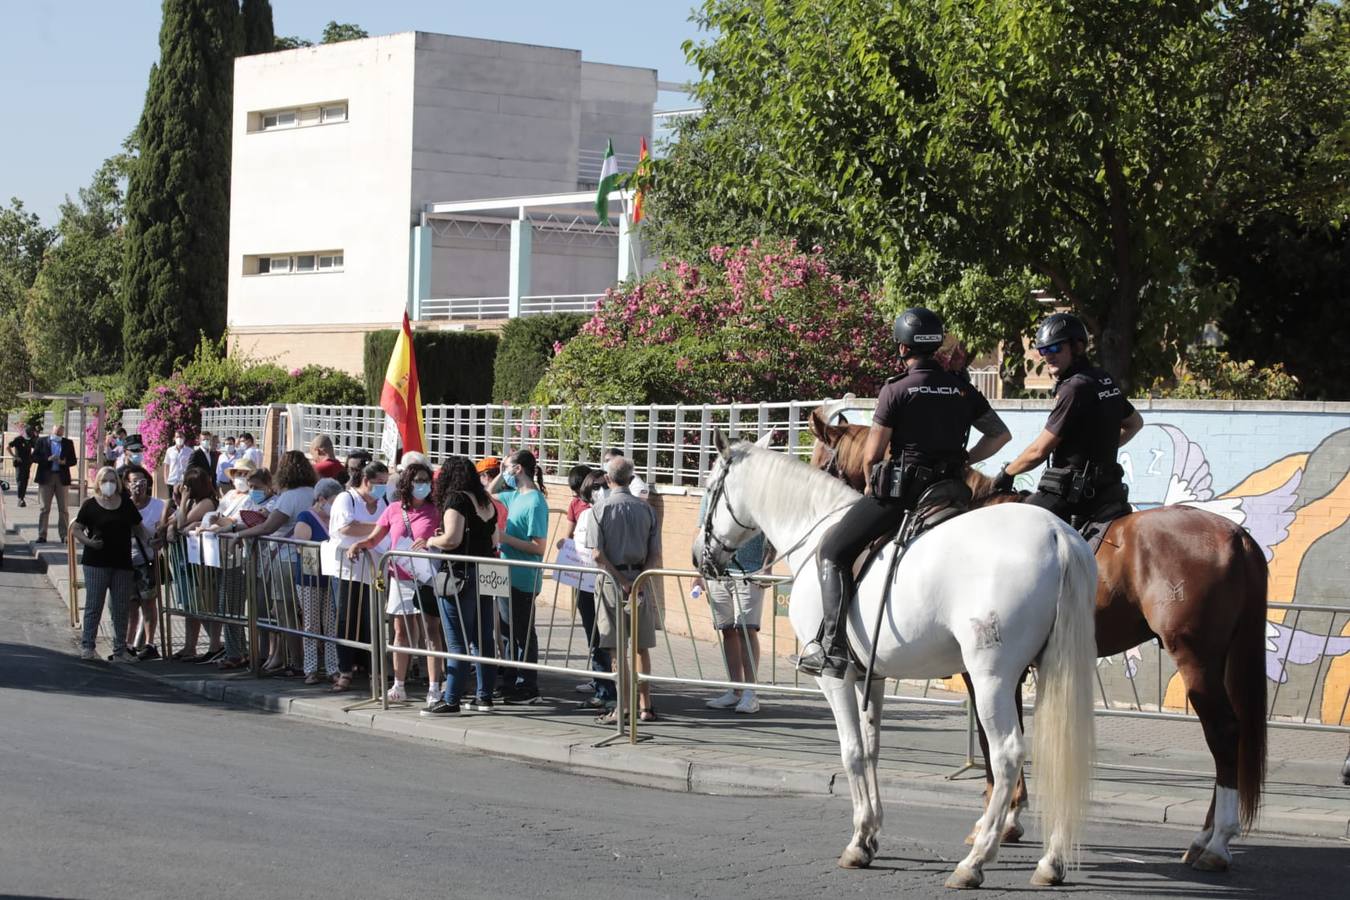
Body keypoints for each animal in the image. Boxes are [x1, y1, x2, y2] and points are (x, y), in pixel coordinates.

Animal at [696, 437, 1096, 885]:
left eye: (710, 488)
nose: (699, 559)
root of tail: (1057, 535)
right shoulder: (871, 676)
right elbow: (871, 748)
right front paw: (870, 834)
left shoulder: (834, 677)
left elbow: (851, 751)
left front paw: (857, 840)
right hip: (1052, 671)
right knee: (1060, 755)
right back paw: (1051, 862)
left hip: (991, 677)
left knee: (1007, 754)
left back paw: (975, 860)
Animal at [810, 407, 1263, 874]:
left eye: (820, 458)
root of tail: (1236, 535)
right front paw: (1007, 818)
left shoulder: (983, 670)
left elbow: (993, 741)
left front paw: (998, 822)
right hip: (1220, 655)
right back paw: (1205, 837)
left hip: (1195, 656)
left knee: (1223, 731)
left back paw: (1216, 842)